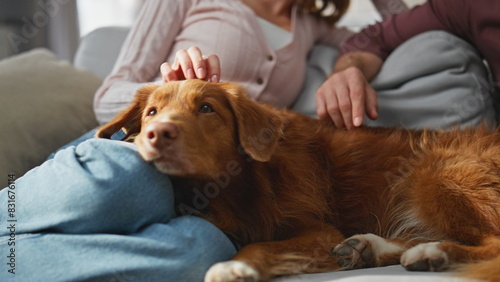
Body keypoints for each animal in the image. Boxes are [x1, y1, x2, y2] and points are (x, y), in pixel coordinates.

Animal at [96, 80, 500, 282]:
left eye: (207, 108)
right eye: (151, 112)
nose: (156, 134)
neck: (235, 187)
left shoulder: (319, 230)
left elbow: (263, 245)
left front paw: (235, 266)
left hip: (436, 174)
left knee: (489, 242)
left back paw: (432, 253)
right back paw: (370, 247)